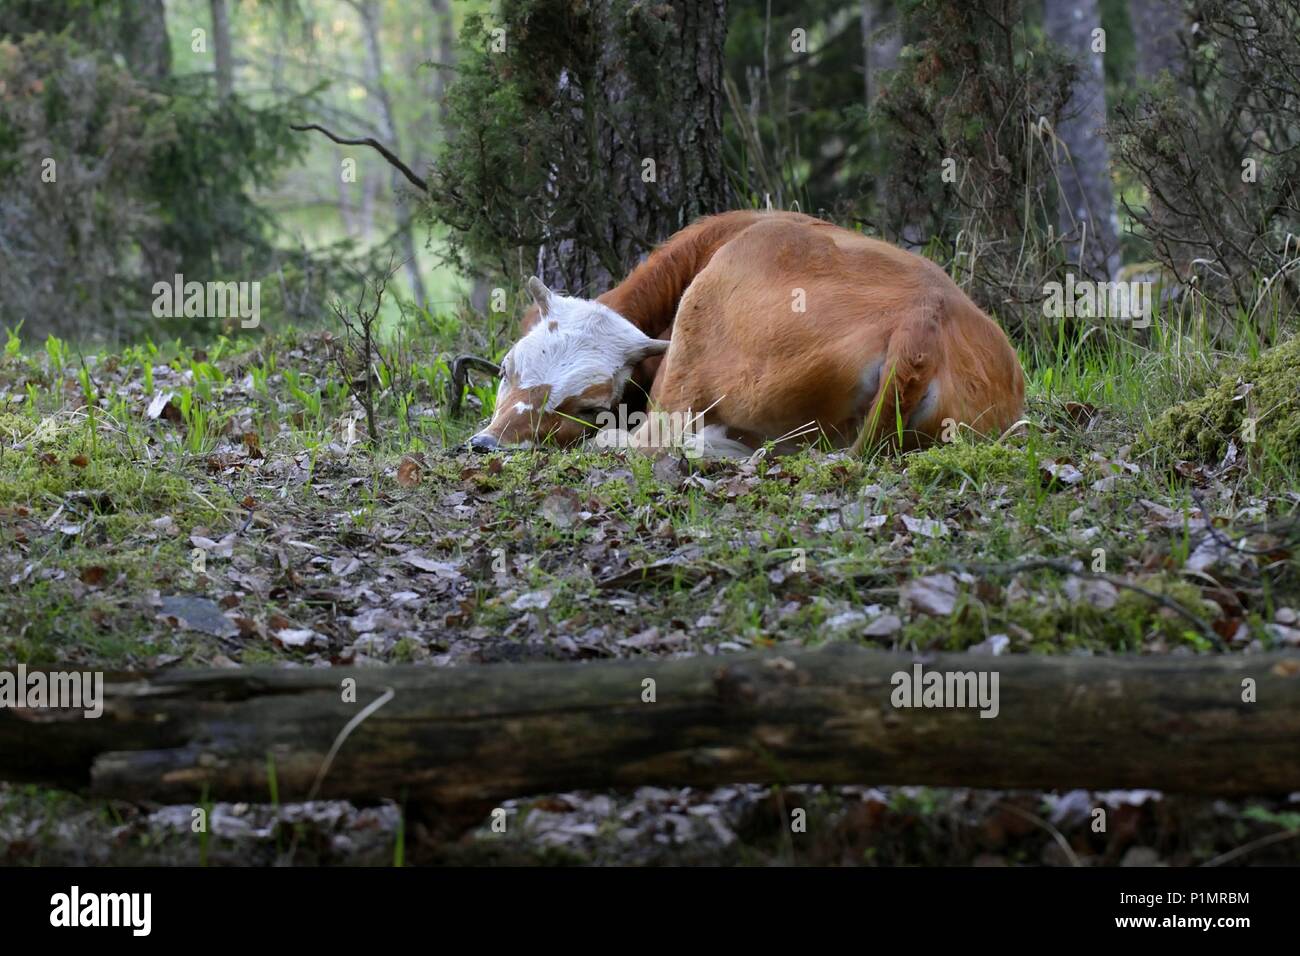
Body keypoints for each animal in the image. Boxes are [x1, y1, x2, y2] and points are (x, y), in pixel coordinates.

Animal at [467, 214, 1024, 460]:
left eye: (588, 406)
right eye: (507, 369)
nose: (484, 443)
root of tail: (923, 317)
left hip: (697, 334)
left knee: (653, 441)